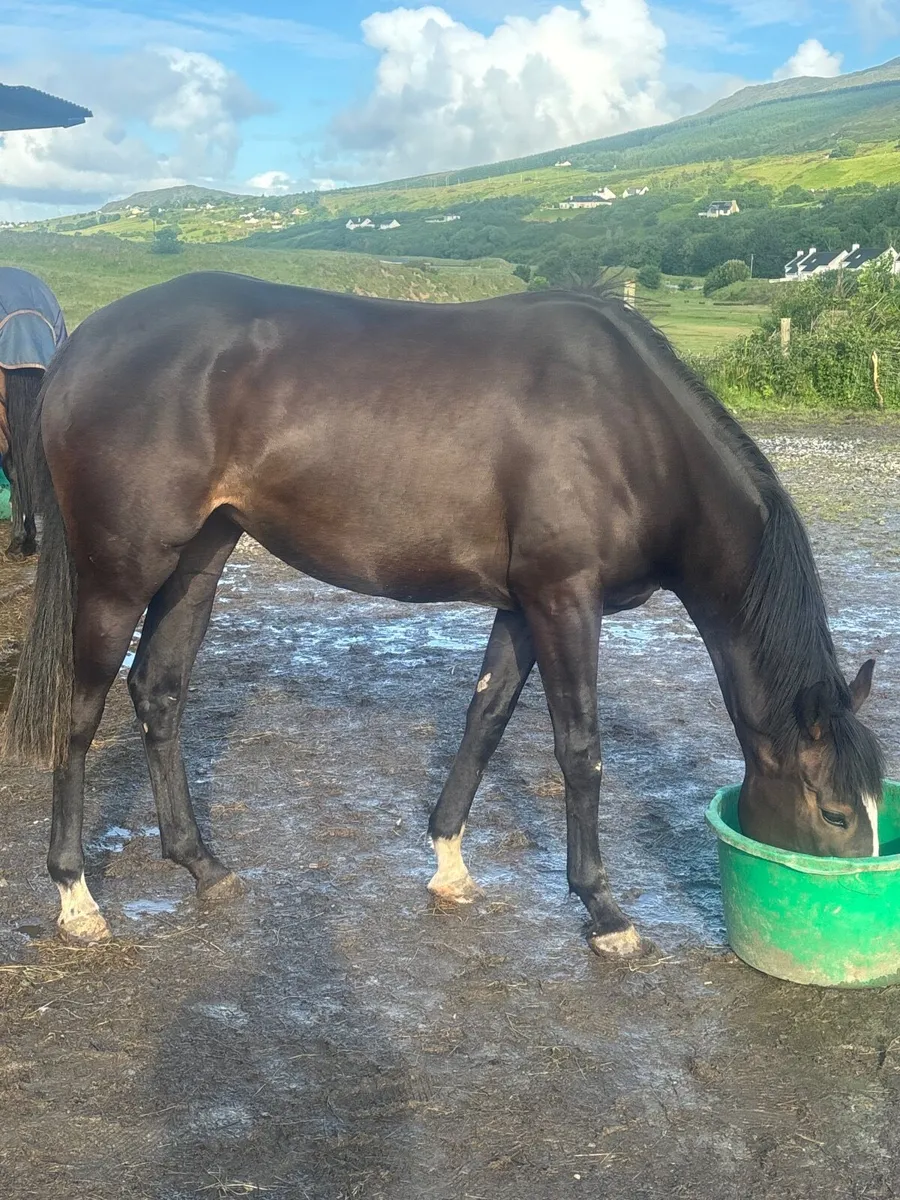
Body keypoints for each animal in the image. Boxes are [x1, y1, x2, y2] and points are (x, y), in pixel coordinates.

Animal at [2, 272, 884, 952]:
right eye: (838, 814)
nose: (861, 889)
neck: (630, 429)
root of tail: (82, 346)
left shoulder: (525, 605)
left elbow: (485, 718)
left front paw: (450, 860)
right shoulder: (566, 599)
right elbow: (580, 751)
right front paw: (603, 910)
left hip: (199, 557)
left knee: (157, 691)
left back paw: (201, 864)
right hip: (120, 572)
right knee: (80, 714)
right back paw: (76, 898)